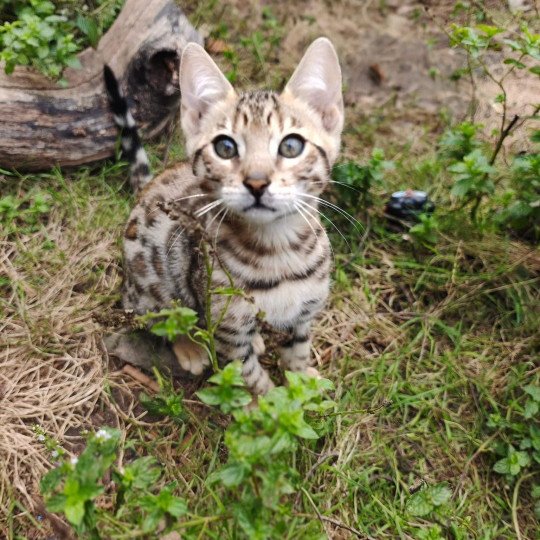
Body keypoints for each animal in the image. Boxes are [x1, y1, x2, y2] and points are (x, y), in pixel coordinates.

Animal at [104, 37, 344, 392]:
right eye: (225, 148)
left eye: (291, 146)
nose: (256, 182)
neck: (280, 251)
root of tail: (147, 188)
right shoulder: (227, 325)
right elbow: (251, 378)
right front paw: (266, 399)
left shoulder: (305, 313)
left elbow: (298, 351)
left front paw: (302, 384)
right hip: (150, 283)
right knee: (161, 316)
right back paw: (188, 347)